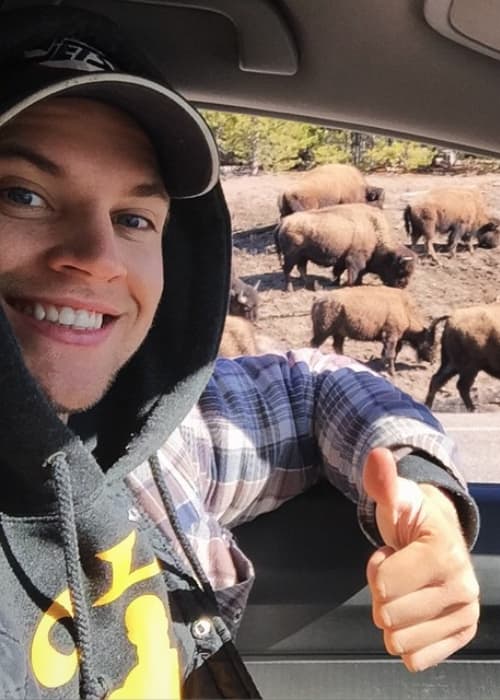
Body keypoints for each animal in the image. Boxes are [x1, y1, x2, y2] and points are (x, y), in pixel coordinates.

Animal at [276, 202, 416, 290]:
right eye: (401, 269)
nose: (402, 286)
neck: (374, 230)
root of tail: (283, 223)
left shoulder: (342, 260)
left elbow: (339, 272)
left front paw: (338, 283)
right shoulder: (354, 260)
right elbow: (354, 273)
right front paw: (350, 284)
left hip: (303, 256)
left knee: (301, 269)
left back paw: (307, 284)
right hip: (291, 256)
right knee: (287, 270)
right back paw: (289, 289)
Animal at [308, 284, 438, 374]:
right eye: (432, 345)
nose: (433, 361)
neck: (405, 309)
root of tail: (318, 299)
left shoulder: (393, 338)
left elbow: (388, 353)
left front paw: (383, 365)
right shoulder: (391, 336)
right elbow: (391, 353)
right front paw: (392, 372)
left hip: (338, 333)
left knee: (337, 346)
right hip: (323, 332)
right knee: (315, 344)